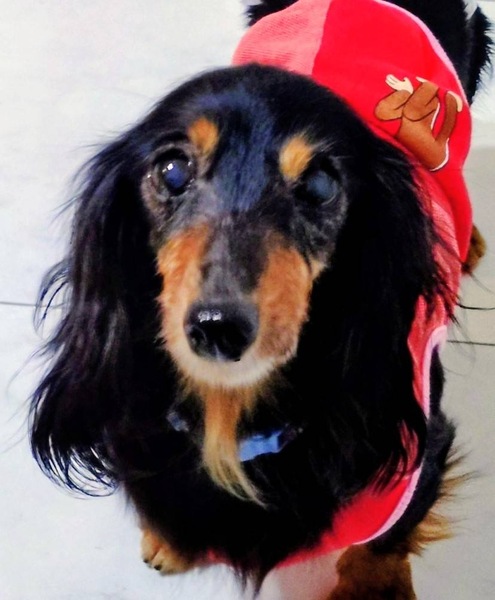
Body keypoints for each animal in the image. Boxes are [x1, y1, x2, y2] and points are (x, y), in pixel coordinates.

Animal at [30, 0, 492, 597]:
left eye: (321, 184)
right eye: (172, 170)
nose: (217, 327)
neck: (231, 415)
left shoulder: (419, 451)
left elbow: (384, 540)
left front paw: (372, 587)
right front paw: (169, 540)